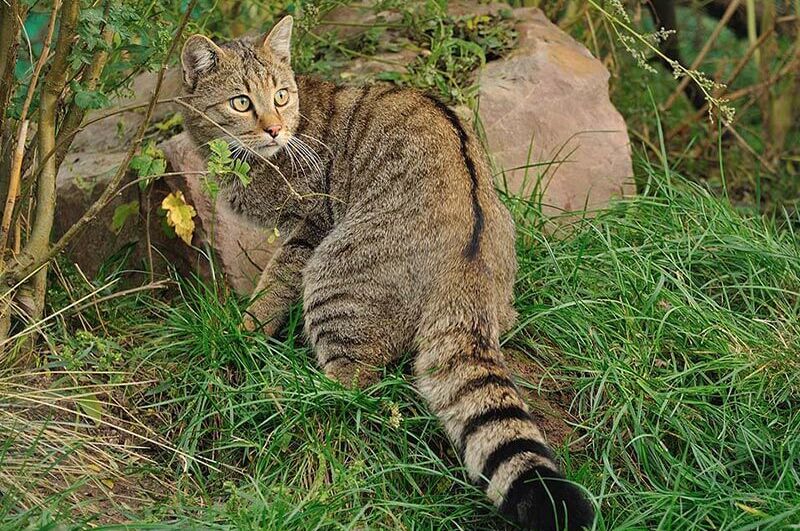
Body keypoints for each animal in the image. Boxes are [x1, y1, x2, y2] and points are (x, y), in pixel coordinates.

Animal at [180, 16, 592, 531]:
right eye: (241, 102)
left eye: (280, 96)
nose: (274, 130)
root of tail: (467, 267)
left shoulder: (309, 228)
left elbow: (271, 289)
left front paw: (243, 332)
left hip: (332, 276)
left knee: (350, 389)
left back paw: (288, 392)